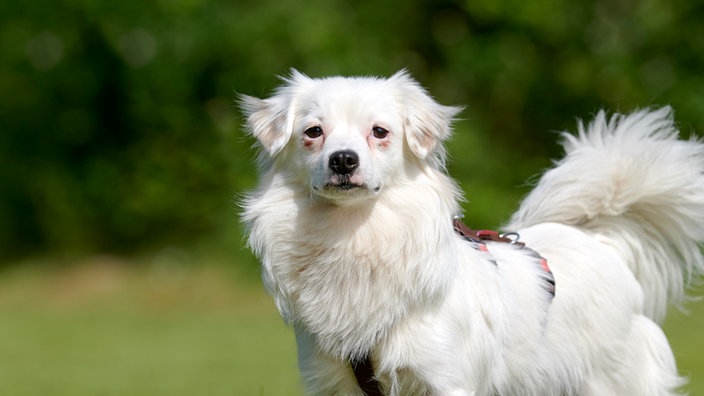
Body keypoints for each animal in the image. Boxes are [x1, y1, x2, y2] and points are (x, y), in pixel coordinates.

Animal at [242, 72, 704, 396]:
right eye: (313, 133)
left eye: (380, 132)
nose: (342, 160)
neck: (353, 234)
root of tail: (601, 243)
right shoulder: (332, 382)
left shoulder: (447, 380)